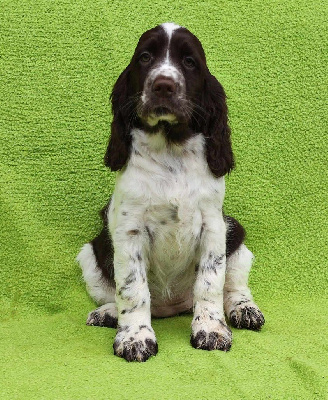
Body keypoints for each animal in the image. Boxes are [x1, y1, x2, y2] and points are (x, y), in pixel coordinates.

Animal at [77, 21, 264, 362]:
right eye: (145, 58)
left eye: (189, 62)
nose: (163, 85)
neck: (170, 149)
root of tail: (171, 308)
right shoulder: (129, 230)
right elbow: (132, 288)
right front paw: (135, 337)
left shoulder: (214, 226)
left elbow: (210, 283)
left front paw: (211, 330)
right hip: (91, 253)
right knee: (116, 293)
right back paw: (108, 313)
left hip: (237, 238)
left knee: (235, 287)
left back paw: (244, 310)